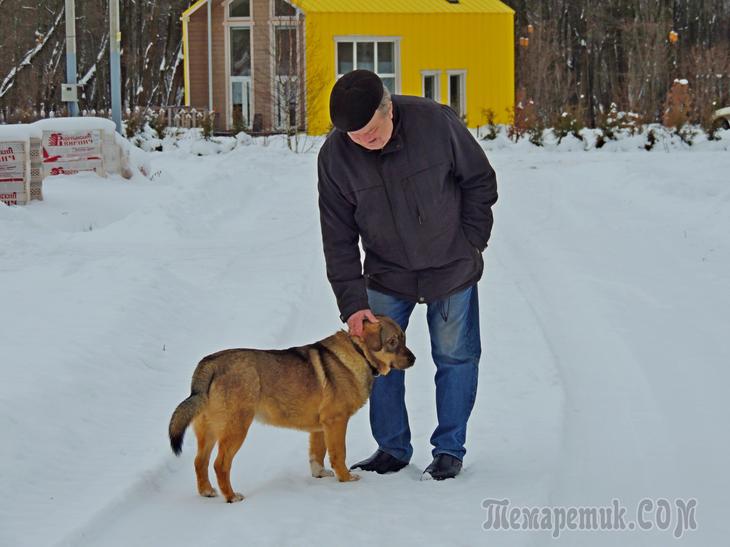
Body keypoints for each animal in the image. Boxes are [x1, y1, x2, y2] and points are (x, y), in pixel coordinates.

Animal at [167, 314, 412, 504]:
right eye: (392, 341)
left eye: (404, 338)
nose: (414, 359)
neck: (359, 352)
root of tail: (210, 364)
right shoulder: (336, 421)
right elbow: (338, 454)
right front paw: (345, 478)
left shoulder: (320, 427)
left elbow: (317, 453)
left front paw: (319, 474)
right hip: (236, 428)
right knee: (220, 465)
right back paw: (231, 496)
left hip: (208, 430)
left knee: (200, 461)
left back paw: (207, 491)